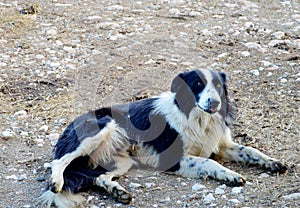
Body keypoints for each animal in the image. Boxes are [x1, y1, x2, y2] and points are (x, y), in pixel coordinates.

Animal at [38, 68, 288, 206]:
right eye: (197, 84)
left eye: (218, 85)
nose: (215, 103)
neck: (198, 118)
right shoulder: (175, 158)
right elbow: (208, 162)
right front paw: (230, 174)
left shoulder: (222, 144)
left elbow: (250, 151)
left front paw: (273, 162)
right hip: (101, 126)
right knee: (59, 161)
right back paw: (57, 182)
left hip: (121, 161)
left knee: (99, 178)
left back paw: (119, 192)